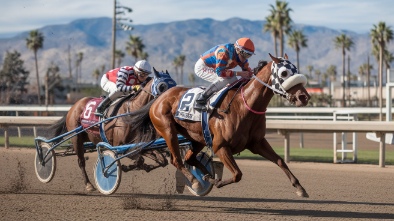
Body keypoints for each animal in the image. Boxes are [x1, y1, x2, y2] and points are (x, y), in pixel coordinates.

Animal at [126, 54, 310, 199]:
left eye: (295, 69)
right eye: (284, 72)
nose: (304, 97)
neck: (243, 106)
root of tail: (158, 98)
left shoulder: (257, 143)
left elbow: (280, 161)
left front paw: (300, 188)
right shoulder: (220, 146)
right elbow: (237, 174)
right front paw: (217, 182)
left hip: (197, 137)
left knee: (189, 159)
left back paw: (205, 176)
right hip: (168, 130)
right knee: (177, 160)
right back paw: (196, 181)